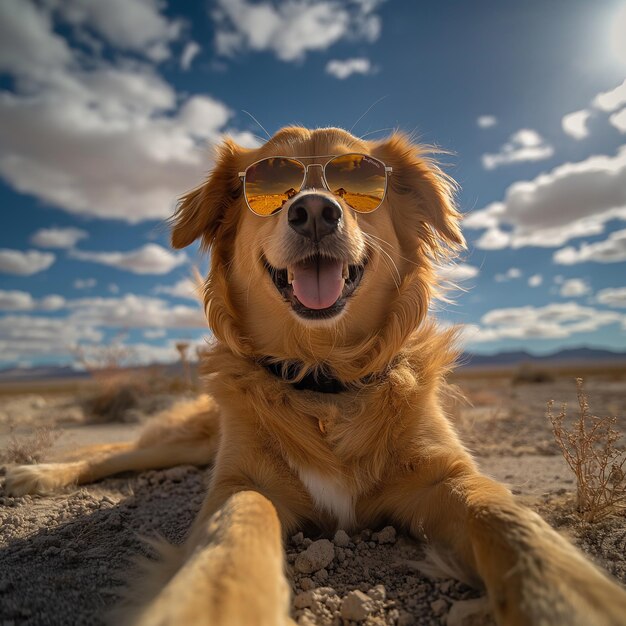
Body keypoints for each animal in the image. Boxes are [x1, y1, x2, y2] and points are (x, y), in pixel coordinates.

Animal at [4, 127, 624, 624]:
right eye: (266, 182)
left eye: (359, 180)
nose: (316, 212)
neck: (324, 377)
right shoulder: (240, 481)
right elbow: (237, 531)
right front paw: (209, 604)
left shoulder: (444, 475)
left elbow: (507, 519)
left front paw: (571, 598)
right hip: (189, 437)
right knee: (114, 451)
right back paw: (34, 475)